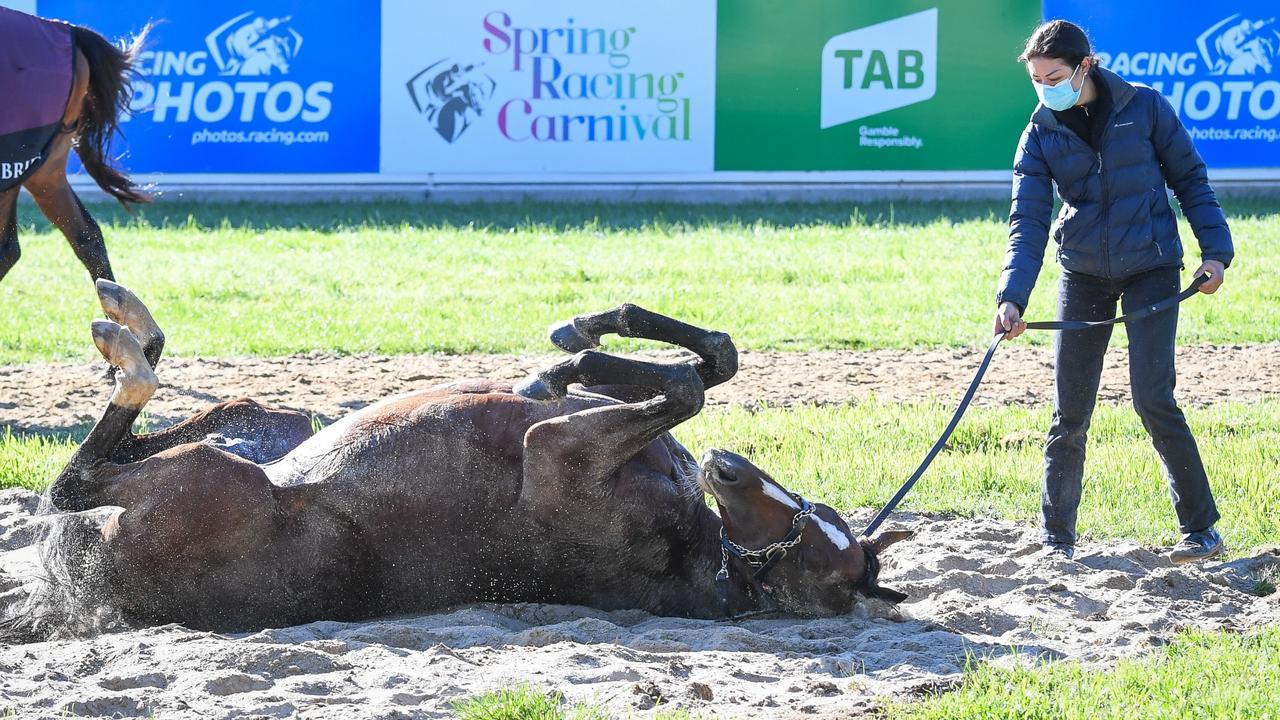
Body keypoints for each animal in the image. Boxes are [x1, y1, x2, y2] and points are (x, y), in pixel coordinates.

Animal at [5, 283, 916, 635]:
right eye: (816, 521)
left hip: (211, 480)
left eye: (809, 546)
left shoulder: (553, 451)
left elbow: (688, 385)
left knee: (79, 478)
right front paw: (576, 342)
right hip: (260, 422)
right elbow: (711, 362)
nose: (725, 468)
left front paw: (569, 358)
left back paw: (128, 341)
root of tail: (83, 586)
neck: (706, 556)